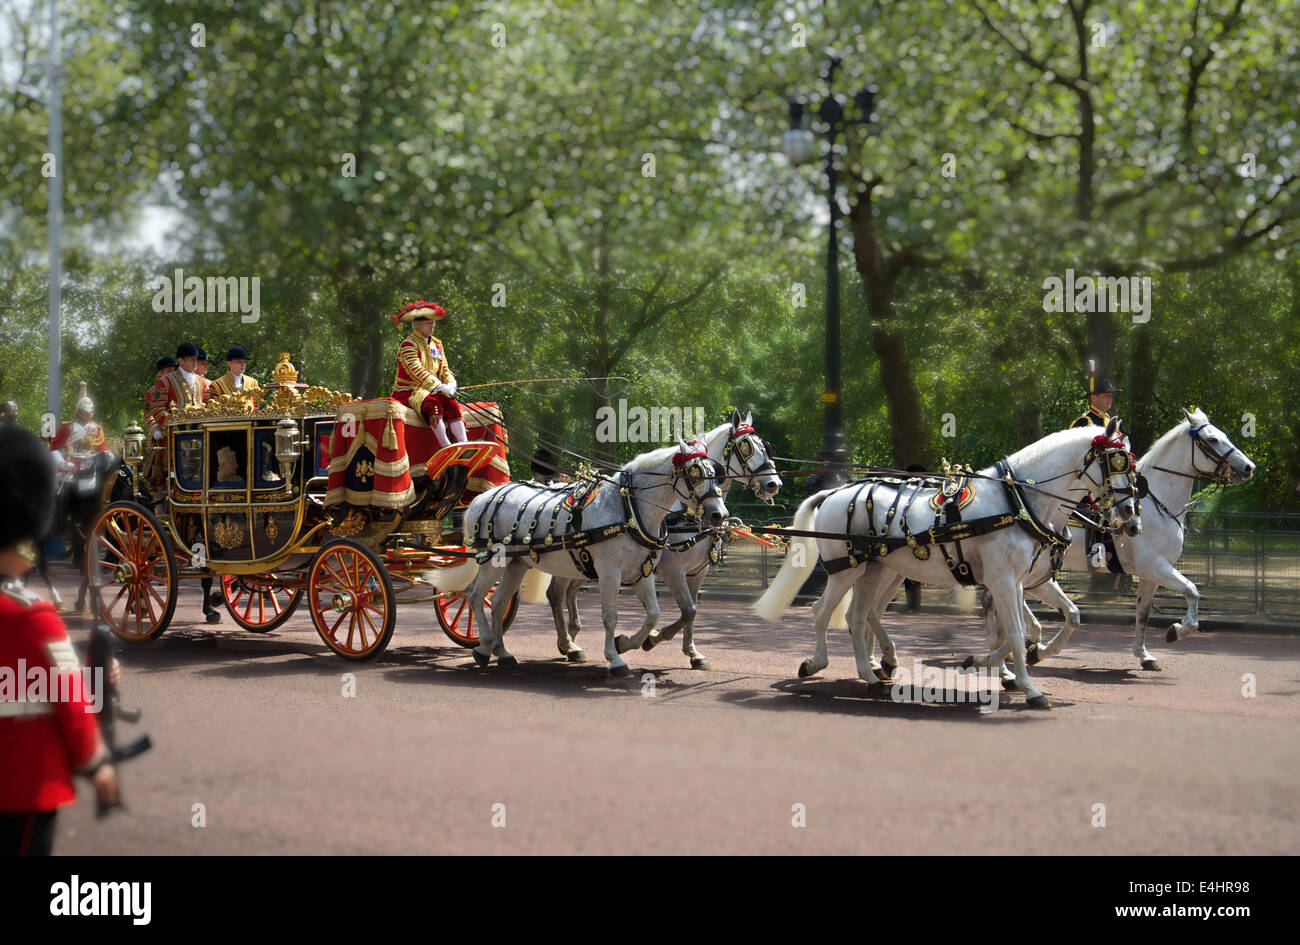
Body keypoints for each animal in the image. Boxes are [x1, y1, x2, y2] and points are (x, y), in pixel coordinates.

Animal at [465, 439, 733, 675]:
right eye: (696, 474)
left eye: (715, 474)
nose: (719, 515)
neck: (629, 509)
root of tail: (480, 498)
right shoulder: (612, 573)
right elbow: (610, 617)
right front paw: (615, 659)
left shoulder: (644, 572)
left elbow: (654, 615)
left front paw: (626, 643)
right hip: (494, 561)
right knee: (475, 595)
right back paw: (485, 645)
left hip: (517, 563)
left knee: (499, 601)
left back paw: (502, 652)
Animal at [546, 413, 780, 670]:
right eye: (746, 447)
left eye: (765, 446)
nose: (774, 484)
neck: (684, 512)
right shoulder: (672, 569)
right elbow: (687, 611)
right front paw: (647, 640)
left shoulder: (698, 571)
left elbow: (692, 611)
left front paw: (692, 652)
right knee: (556, 594)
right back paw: (568, 643)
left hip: (584, 564)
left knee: (567, 592)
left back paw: (570, 639)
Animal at [754, 423, 1138, 707]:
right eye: (1115, 461)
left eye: (1130, 462)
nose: (1130, 513)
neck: (1018, 501)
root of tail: (835, 492)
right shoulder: (1002, 580)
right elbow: (1016, 632)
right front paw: (1028, 686)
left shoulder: (1020, 581)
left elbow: (1051, 621)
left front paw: (1001, 664)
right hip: (846, 569)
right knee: (823, 612)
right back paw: (820, 663)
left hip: (878, 571)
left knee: (859, 616)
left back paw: (873, 672)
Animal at [987, 410, 1253, 670]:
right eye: (1212, 439)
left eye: (1223, 435)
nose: (1249, 467)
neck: (1158, 502)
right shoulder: (1155, 566)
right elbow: (1192, 591)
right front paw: (1176, 631)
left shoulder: (1150, 574)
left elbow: (1143, 613)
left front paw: (1144, 654)